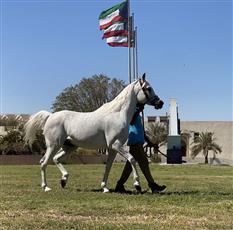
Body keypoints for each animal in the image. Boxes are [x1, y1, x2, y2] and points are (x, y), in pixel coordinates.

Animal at [24, 74, 164, 192]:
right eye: (148, 88)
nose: (160, 103)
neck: (117, 114)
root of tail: (50, 116)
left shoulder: (112, 149)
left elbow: (108, 167)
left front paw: (105, 188)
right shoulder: (116, 145)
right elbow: (132, 159)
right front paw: (137, 184)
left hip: (69, 147)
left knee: (55, 159)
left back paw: (63, 180)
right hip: (53, 145)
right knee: (44, 162)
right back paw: (46, 187)